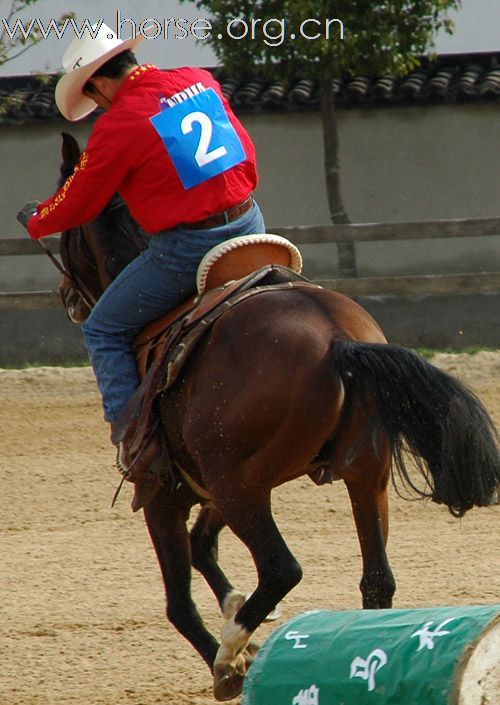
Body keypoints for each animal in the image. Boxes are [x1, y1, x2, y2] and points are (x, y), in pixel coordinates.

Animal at [52, 132, 498, 700]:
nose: (68, 298)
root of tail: (337, 339)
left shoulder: (166, 493)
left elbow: (180, 600)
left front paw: (233, 663)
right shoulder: (210, 483)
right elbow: (202, 547)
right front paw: (239, 614)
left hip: (241, 487)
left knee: (282, 568)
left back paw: (228, 656)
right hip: (356, 477)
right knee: (376, 579)